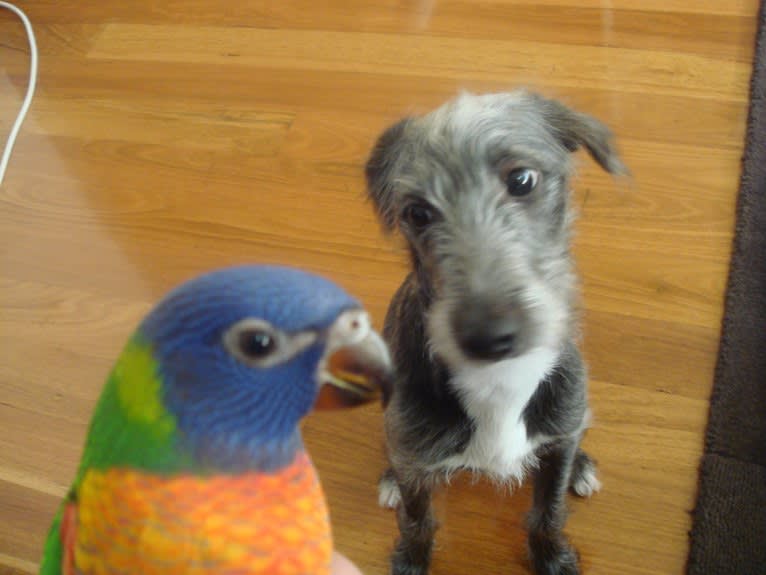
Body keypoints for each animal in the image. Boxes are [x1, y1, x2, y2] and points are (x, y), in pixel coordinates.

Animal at [368, 91, 632, 575]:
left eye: (522, 180)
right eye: (417, 212)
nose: (490, 336)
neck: (499, 380)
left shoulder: (559, 436)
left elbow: (548, 511)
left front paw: (552, 556)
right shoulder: (414, 457)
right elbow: (416, 520)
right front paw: (411, 559)